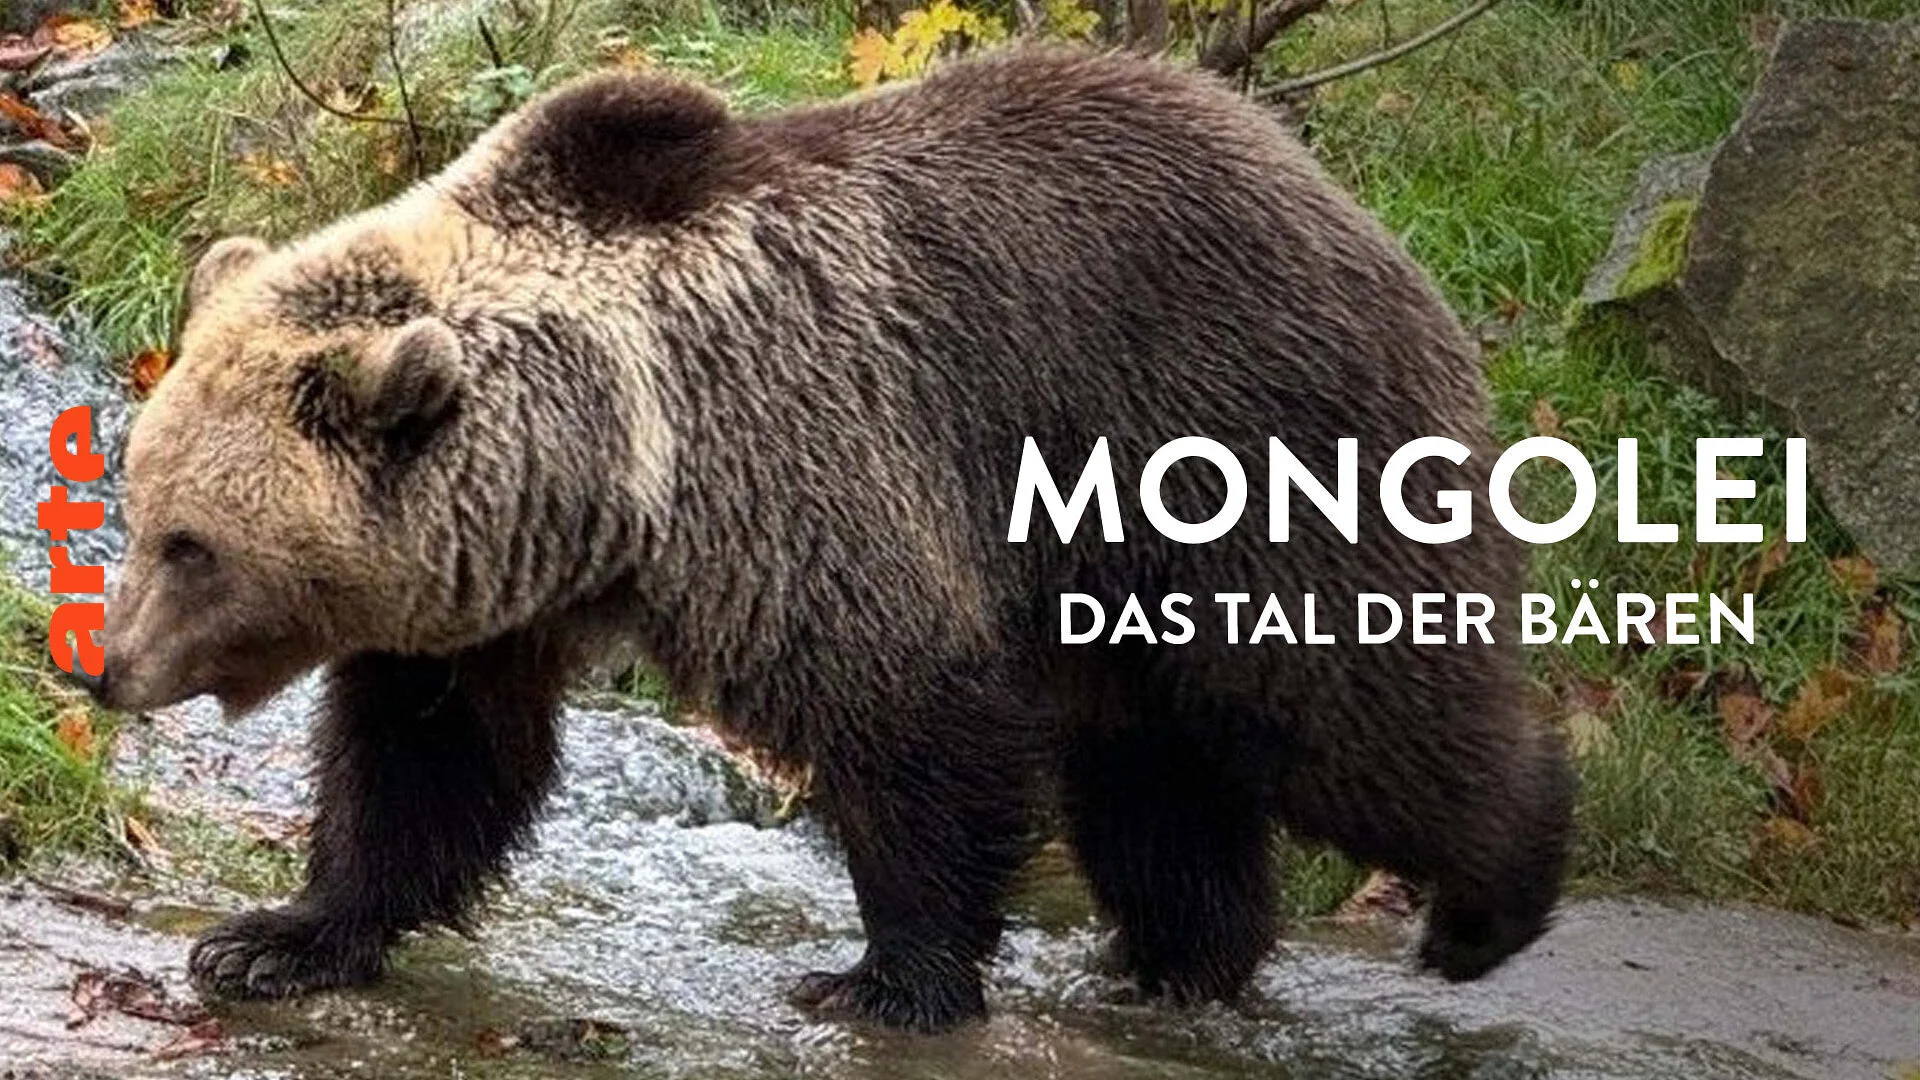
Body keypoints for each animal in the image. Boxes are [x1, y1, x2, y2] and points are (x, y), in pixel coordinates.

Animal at [85, 46, 1574, 1032]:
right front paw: (275, 938)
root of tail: (1347, 201)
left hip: (1246, 447)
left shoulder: (795, 464)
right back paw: (1174, 957)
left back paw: (1487, 900)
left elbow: (906, 709)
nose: (104, 666)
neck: (605, 468)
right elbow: (426, 759)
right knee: (1153, 765)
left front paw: (882, 977)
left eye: (195, 545)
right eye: (141, 503)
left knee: (1348, 709)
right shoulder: (492, 589)